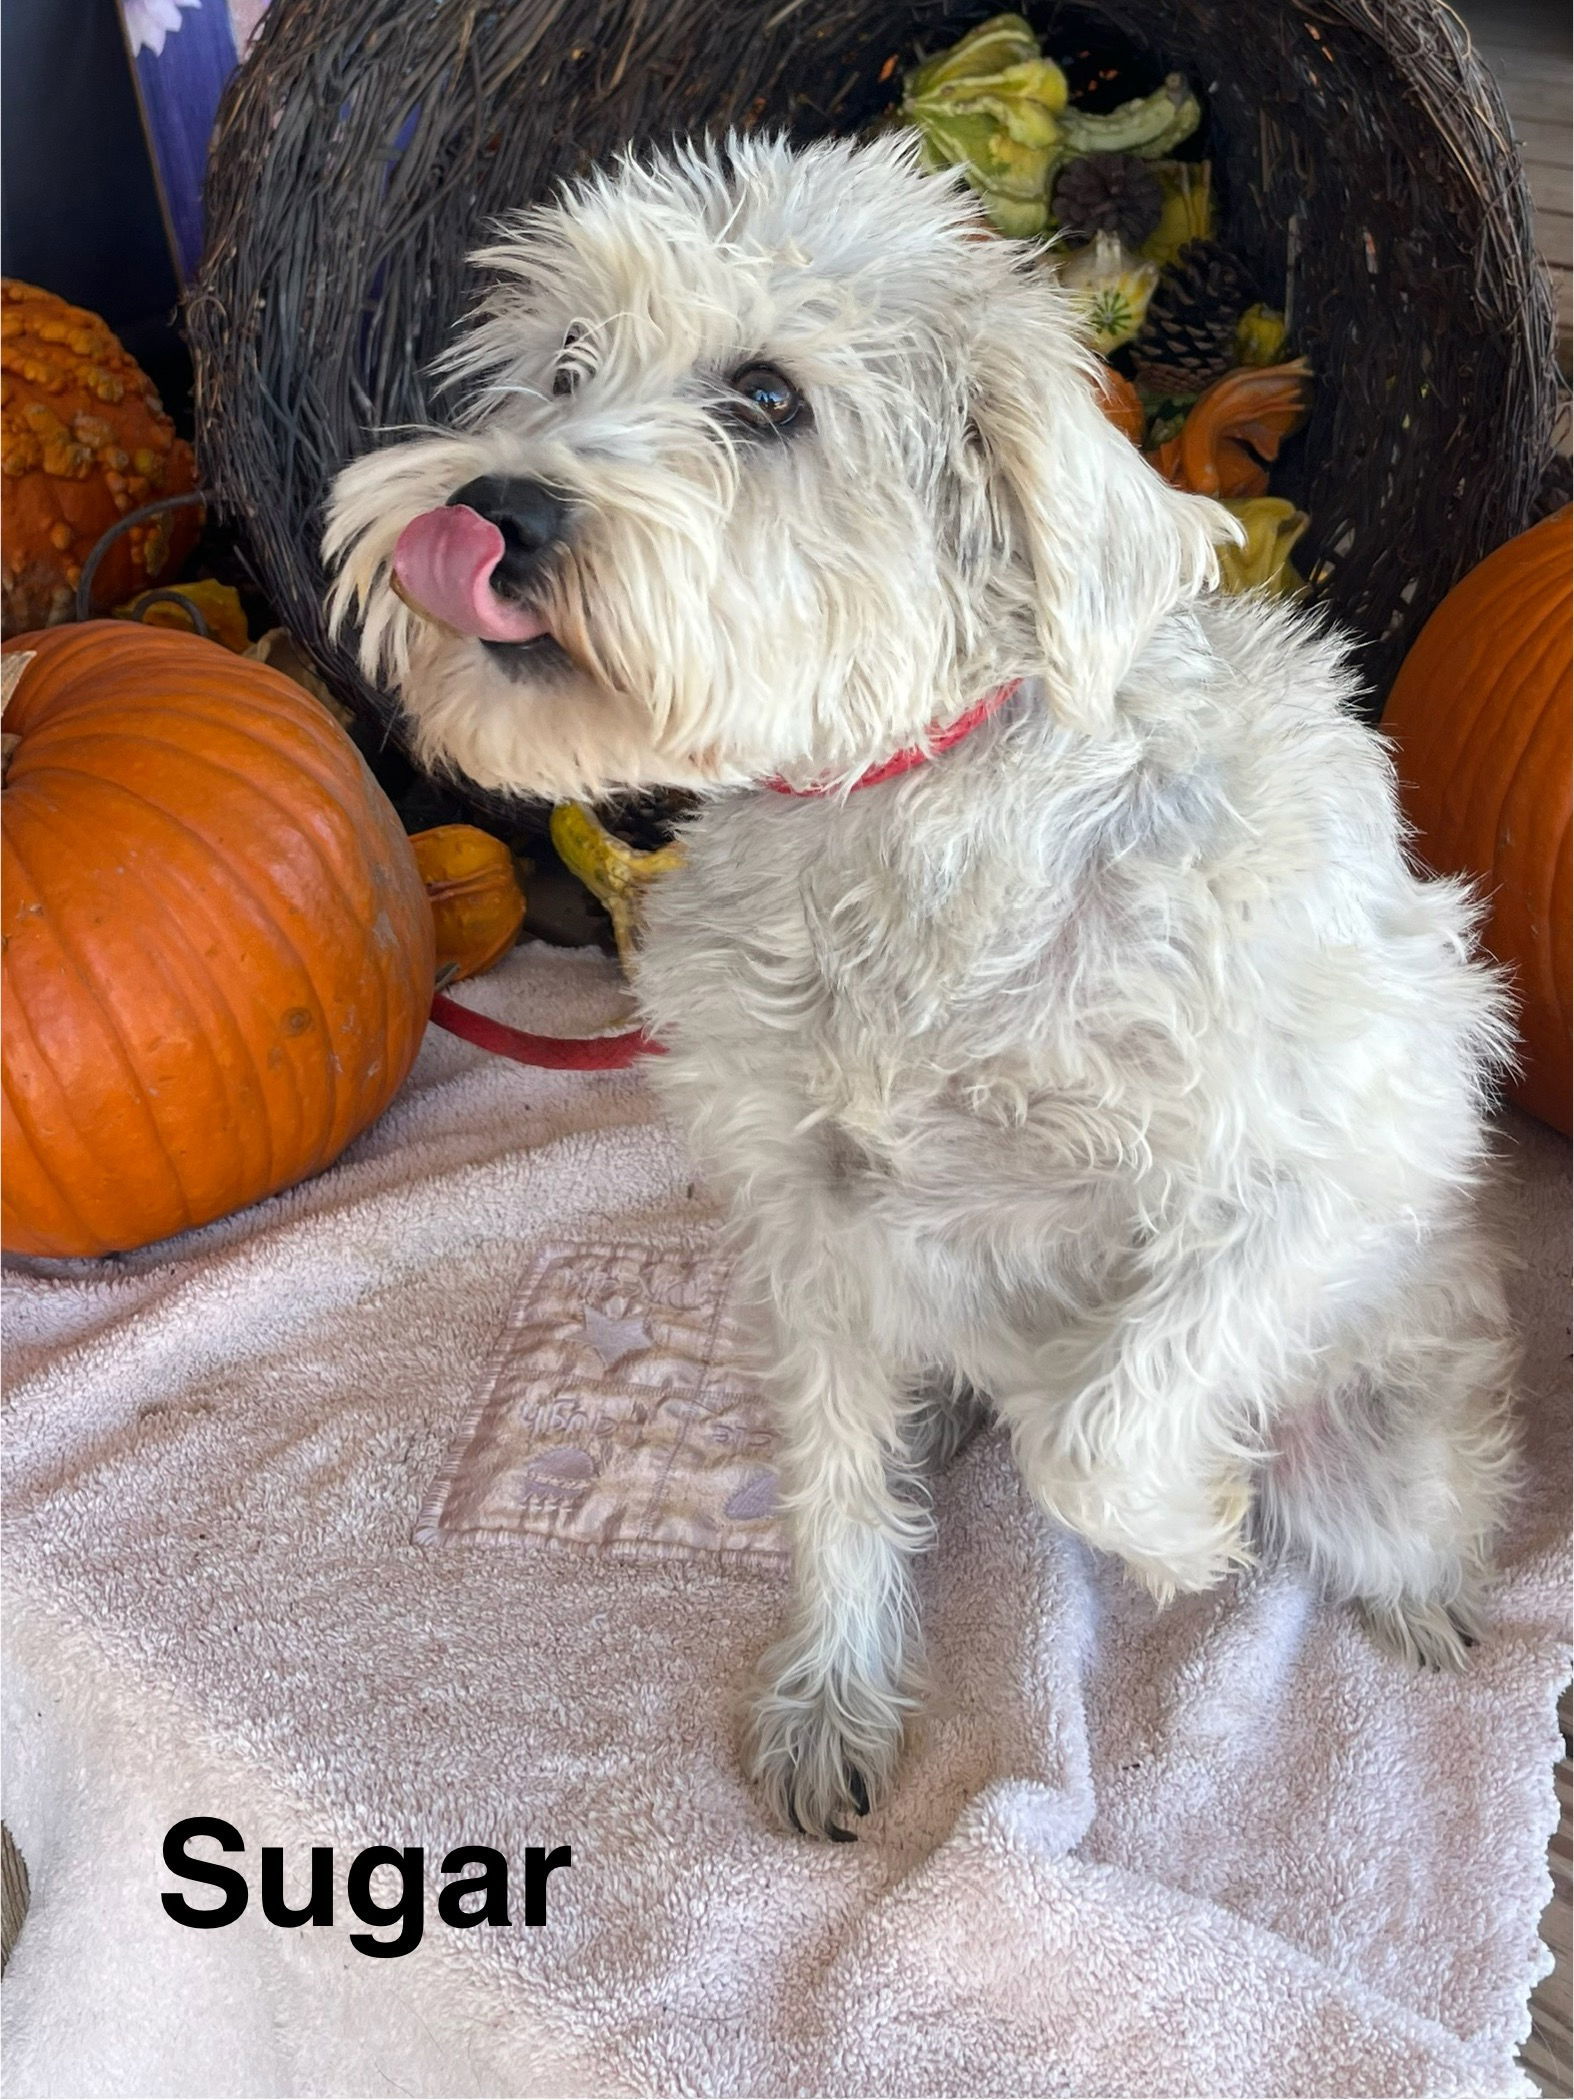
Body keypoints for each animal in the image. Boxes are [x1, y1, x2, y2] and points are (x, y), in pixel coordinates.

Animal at [327, 135, 1519, 1839]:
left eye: (766, 395)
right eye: (561, 367)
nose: (490, 502)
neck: (895, 815)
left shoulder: (1339, 1158)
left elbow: (1100, 1425)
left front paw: (1181, 1530)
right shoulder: (805, 1218)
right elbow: (834, 1484)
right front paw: (834, 1692)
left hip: (1385, 1439)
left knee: (1398, 1513)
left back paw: (1413, 1598)